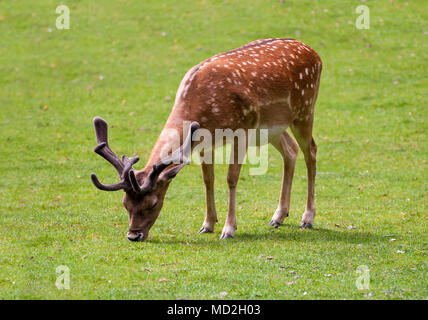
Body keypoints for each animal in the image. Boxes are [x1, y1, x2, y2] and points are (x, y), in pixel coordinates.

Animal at [91, 38, 324, 242]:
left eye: (153, 203)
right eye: (125, 204)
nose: (133, 235)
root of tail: (315, 54)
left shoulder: (242, 130)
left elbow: (231, 178)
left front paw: (229, 229)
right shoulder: (204, 141)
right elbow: (208, 179)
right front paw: (208, 224)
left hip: (305, 110)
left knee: (311, 151)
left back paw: (307, 218)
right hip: (272, 127)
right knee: (290, 150)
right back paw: (278, 217)